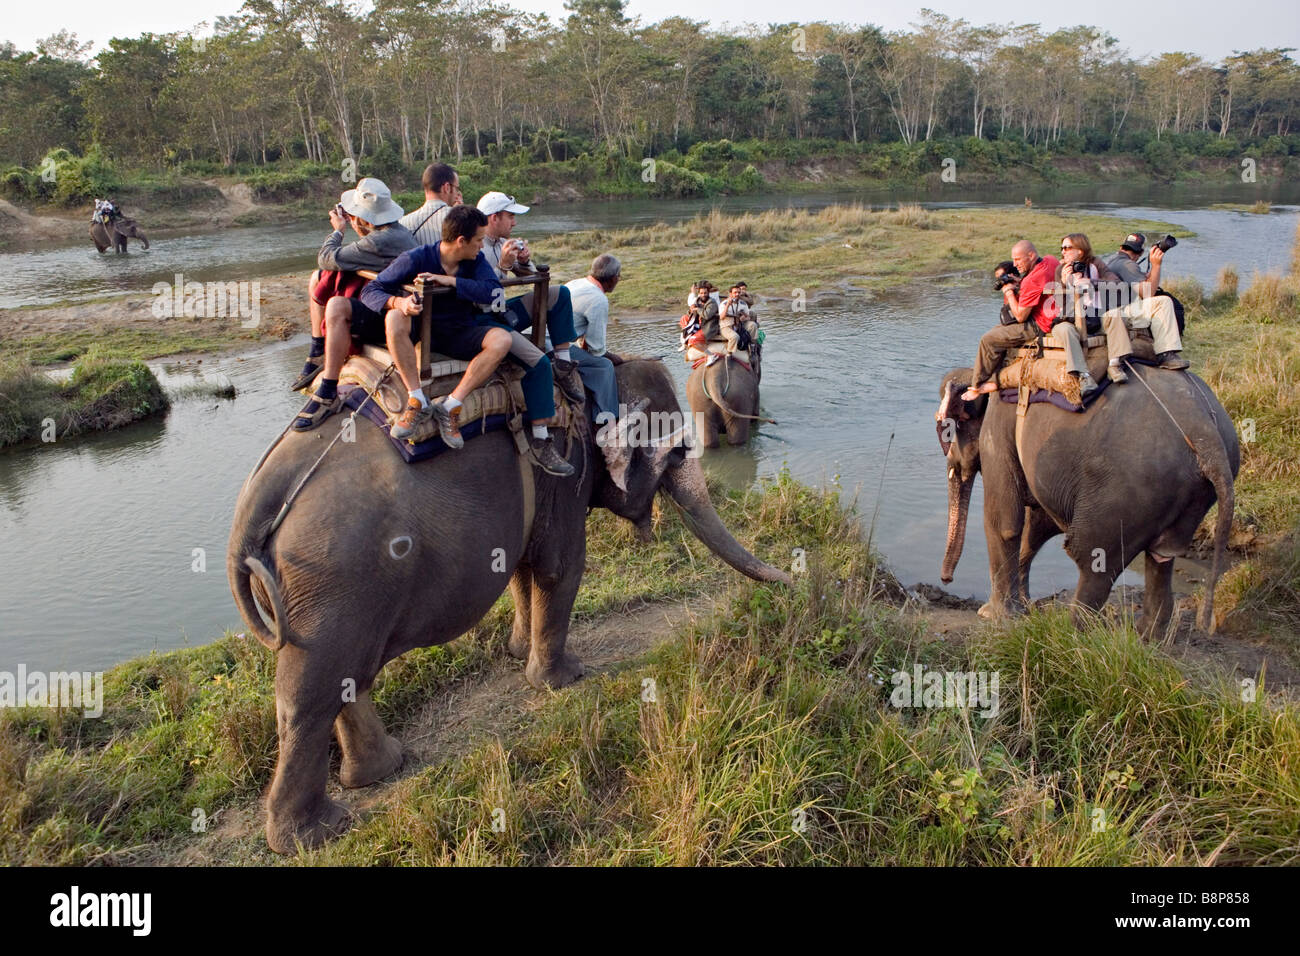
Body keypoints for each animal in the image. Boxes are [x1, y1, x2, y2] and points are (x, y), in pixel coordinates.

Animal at [228, 358, 785, 853]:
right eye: (675, 453)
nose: (786, 584)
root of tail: (258, 499)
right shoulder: (565, 469)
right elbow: (561, 567)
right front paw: (564, 679)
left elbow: (519, 566)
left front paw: (518, 652)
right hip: (333, 576)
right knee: (309, 692)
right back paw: (313, 834)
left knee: (346, 678)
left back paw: (382, 770)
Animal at [935, 361, 1237, 639]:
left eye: (949, 428)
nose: (946, 579)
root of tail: (1208, 437)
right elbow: (1039, 524)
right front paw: (1024, 606)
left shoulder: (998, 430)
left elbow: (1005, 521)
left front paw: (992, 616)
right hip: (1187, 494)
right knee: (1162, 555)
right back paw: (1147, 637)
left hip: (1124, 493)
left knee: (1091, 557)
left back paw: (1075, 635)